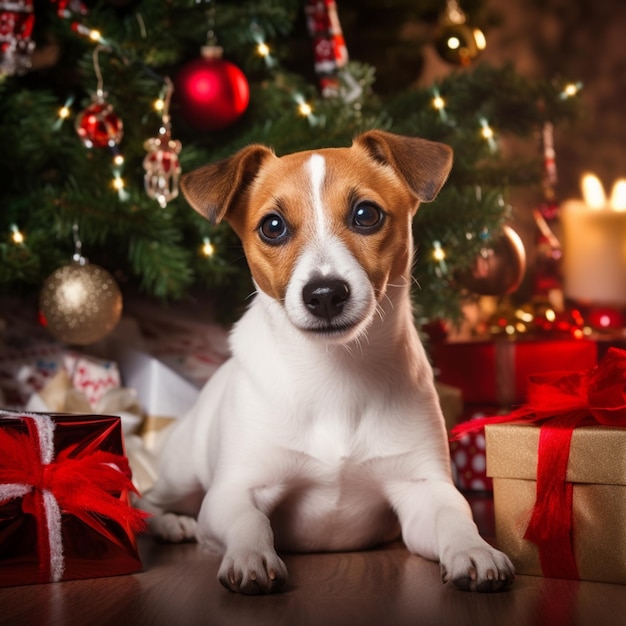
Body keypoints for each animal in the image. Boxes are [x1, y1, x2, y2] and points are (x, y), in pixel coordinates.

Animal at [144, 129, 516, 592]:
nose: (324, 294)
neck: (334, 372)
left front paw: (474, 550)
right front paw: (250, 556)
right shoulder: (233, 491)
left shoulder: (421, 487)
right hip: (182, 472)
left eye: (366, 215)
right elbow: (250, 522)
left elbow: (456, 516)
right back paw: (172, 524)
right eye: (272, 226)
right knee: (147, 500)